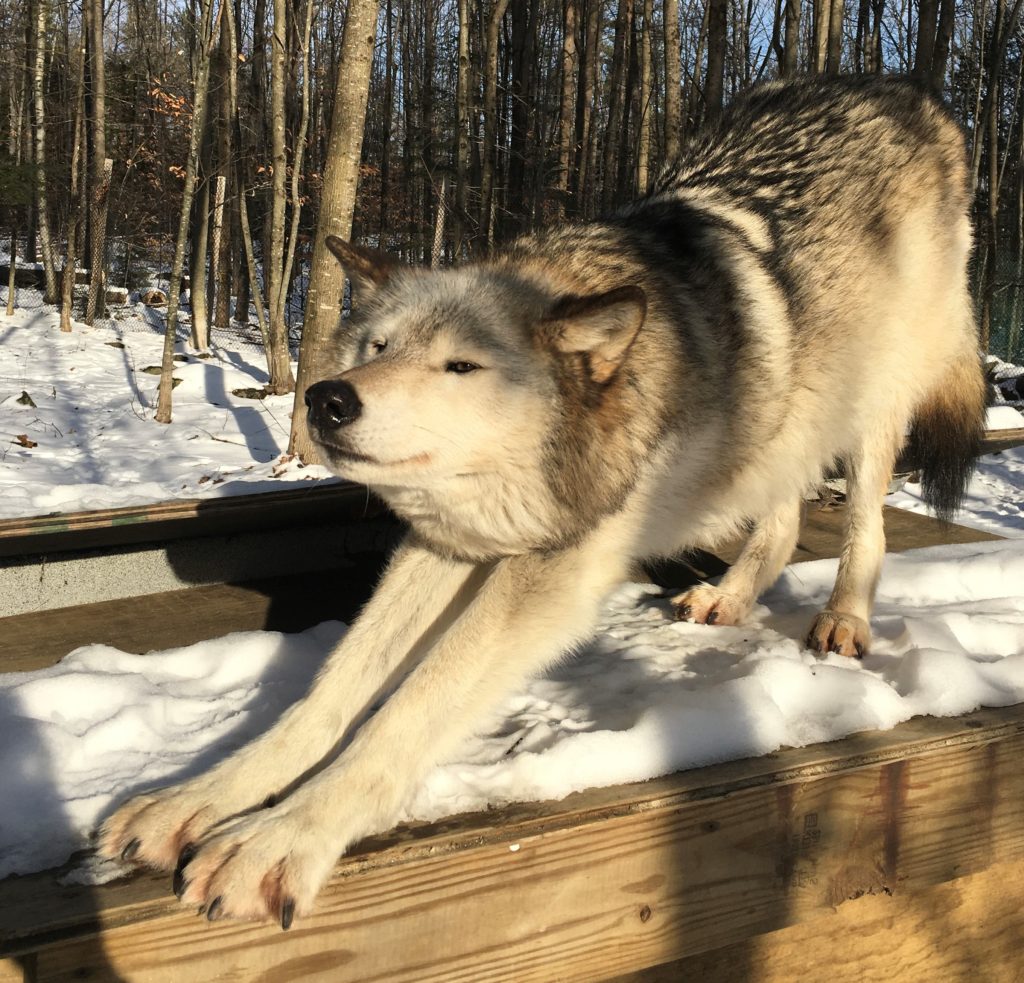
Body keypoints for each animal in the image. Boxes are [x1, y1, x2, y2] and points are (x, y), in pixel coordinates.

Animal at [99, 74, 987, 921]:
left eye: (461, 366)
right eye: (377, 346)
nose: (327, 399)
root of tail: (908, 94)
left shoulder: (548, 574)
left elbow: (402, 712)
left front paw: (279, 839)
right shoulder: (449, 545)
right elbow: (330, 694)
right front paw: (199, 798)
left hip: (870, 404)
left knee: (865, 521)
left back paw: (844, 619)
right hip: (781, 419)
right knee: (782, 510)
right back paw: (730, 598)